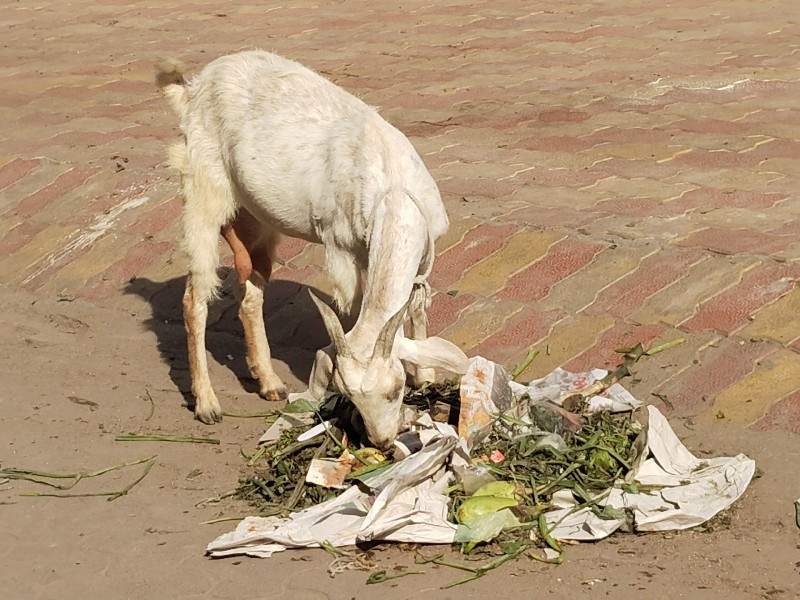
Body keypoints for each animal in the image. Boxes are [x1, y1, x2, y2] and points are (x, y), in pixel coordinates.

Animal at [156, 51, 468, 448]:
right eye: (349, 396)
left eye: (394, 391)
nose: (381, 441)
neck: (393, 189)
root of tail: (193, 88)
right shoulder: (344, 248)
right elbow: (353, 307)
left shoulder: (425, 257)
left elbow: (417, 309)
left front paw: (426, 375)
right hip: (202, 189)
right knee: (194, 297)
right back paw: (207, 404)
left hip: (257, 219)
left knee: (250, 292)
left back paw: (270, 383)